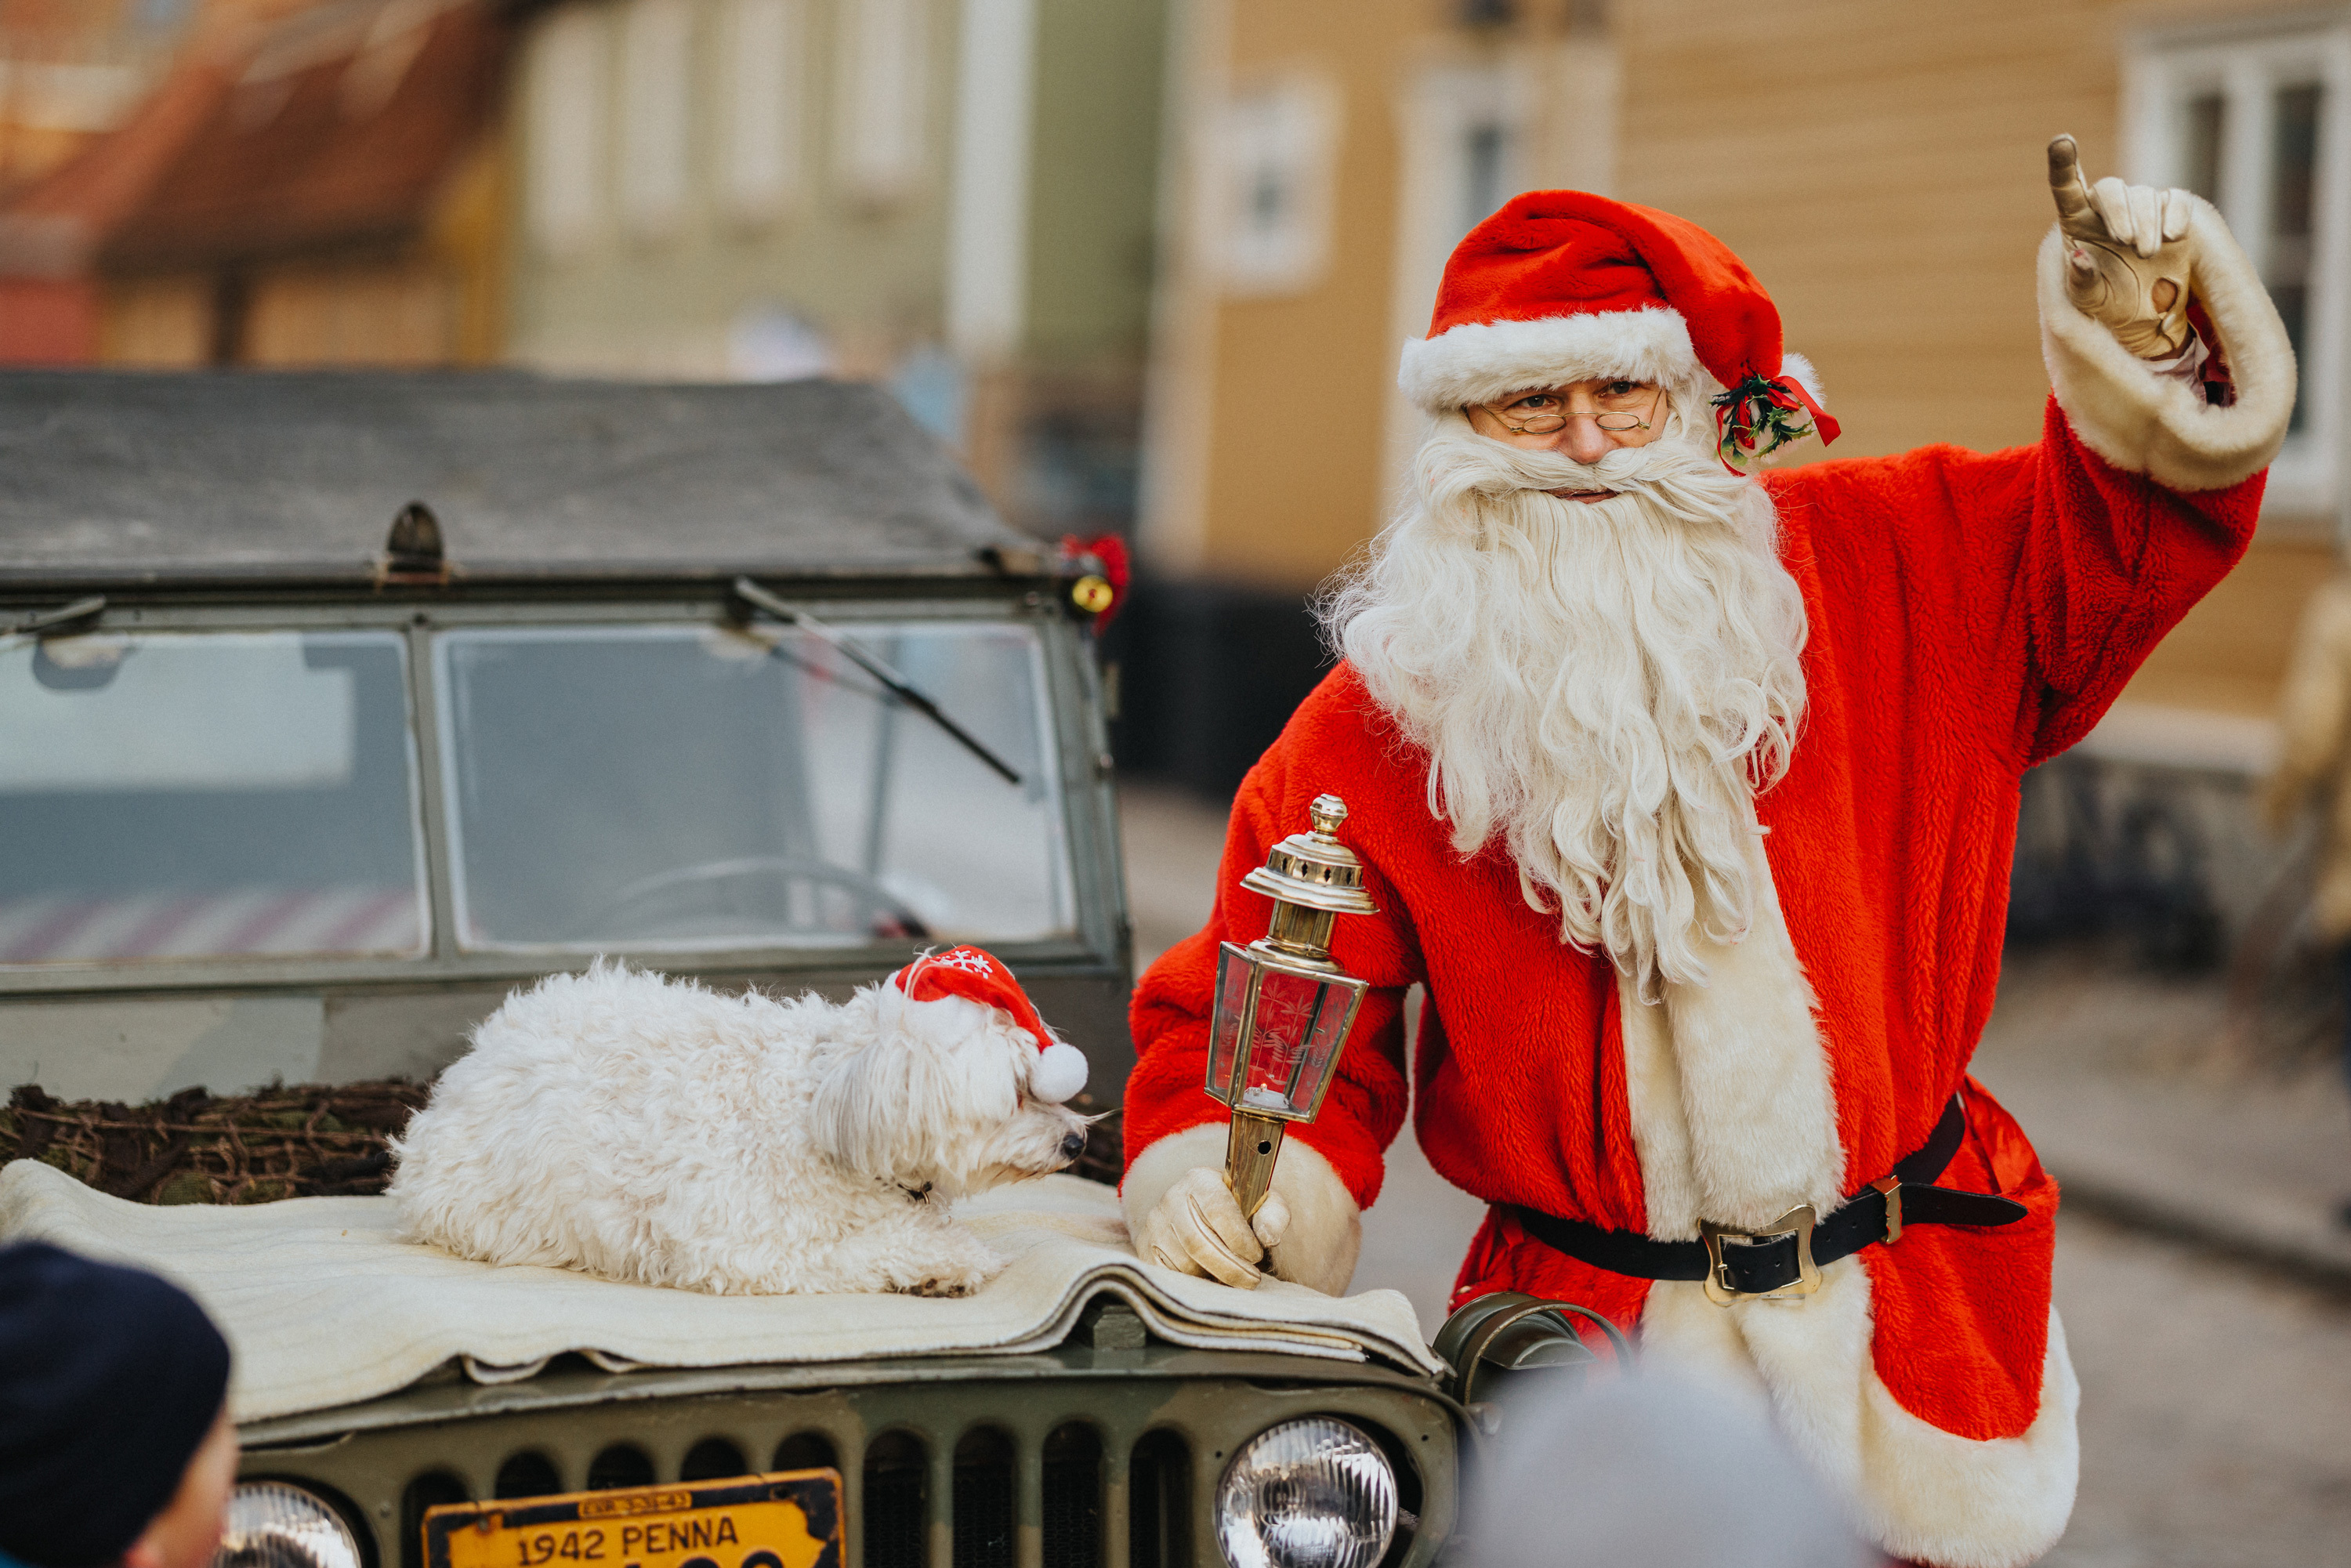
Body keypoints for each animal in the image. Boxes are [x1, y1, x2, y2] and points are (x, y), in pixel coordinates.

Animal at [390, 945, 1096, 1298]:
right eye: (1015, 1090)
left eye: (1043, 1078)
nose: (1078, 1139)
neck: (820, 1103)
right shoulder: (747, 1247)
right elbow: (872, 1245)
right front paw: (951, 1258)